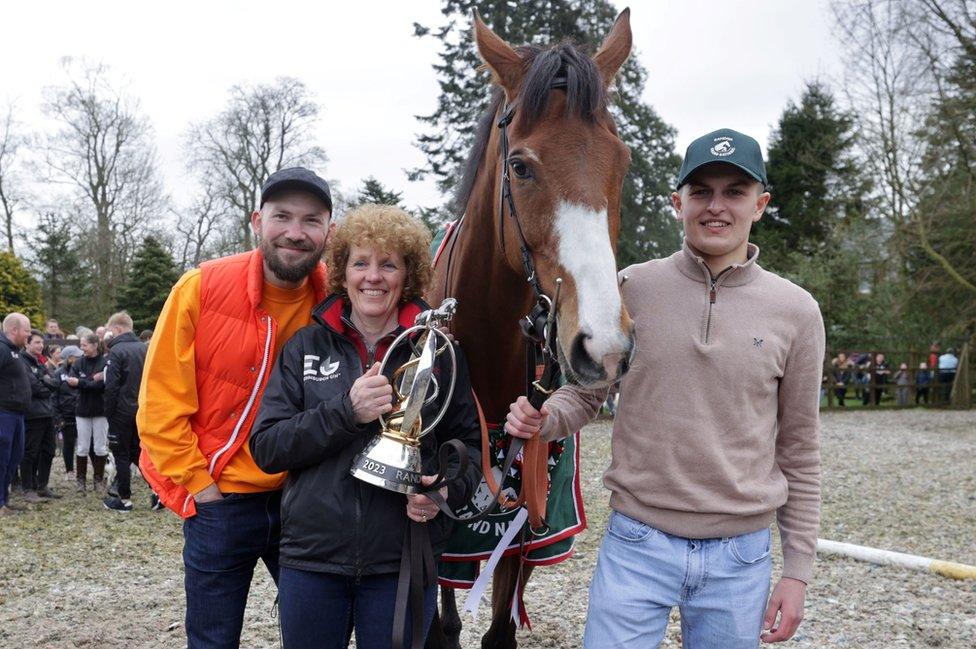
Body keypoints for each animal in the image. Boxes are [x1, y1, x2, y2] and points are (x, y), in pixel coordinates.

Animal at [424, 10, 636, 648]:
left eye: (622, 164)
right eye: (520, 166)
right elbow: (444, 621)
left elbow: (500, 628)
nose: (603, 346)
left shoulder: (526, 526)